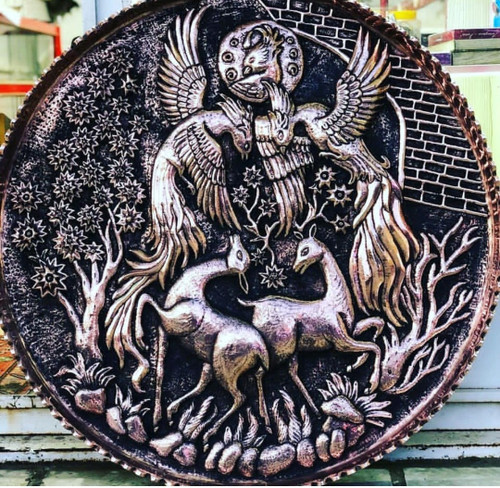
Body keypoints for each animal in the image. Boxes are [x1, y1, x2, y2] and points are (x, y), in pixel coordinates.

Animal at [135, 235, 271, 446]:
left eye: (241, 255)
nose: (235, 236)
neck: (190, 292)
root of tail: (261, 349)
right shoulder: (164, 330)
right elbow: (160, 370)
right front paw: (157, 419)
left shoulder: (172, 321)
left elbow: (145, 297)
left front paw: (139, 336)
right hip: (213, 363)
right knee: (206, 386)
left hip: (224, 366)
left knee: (239, 397)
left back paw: (208, 434)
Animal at [239, 225, 383, 415]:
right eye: (300, 250)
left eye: (305, 250)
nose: (296, 267)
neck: (335, 302)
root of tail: (255, 304)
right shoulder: (340, 342)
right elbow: (374, 347)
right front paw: (371, 385)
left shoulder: (350, 331)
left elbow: (376, 326)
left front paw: (353, 365)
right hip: (278, 348)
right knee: (259, 373)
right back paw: (266, 415)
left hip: (292, 351)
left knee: (292, 372)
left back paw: (314, 408)